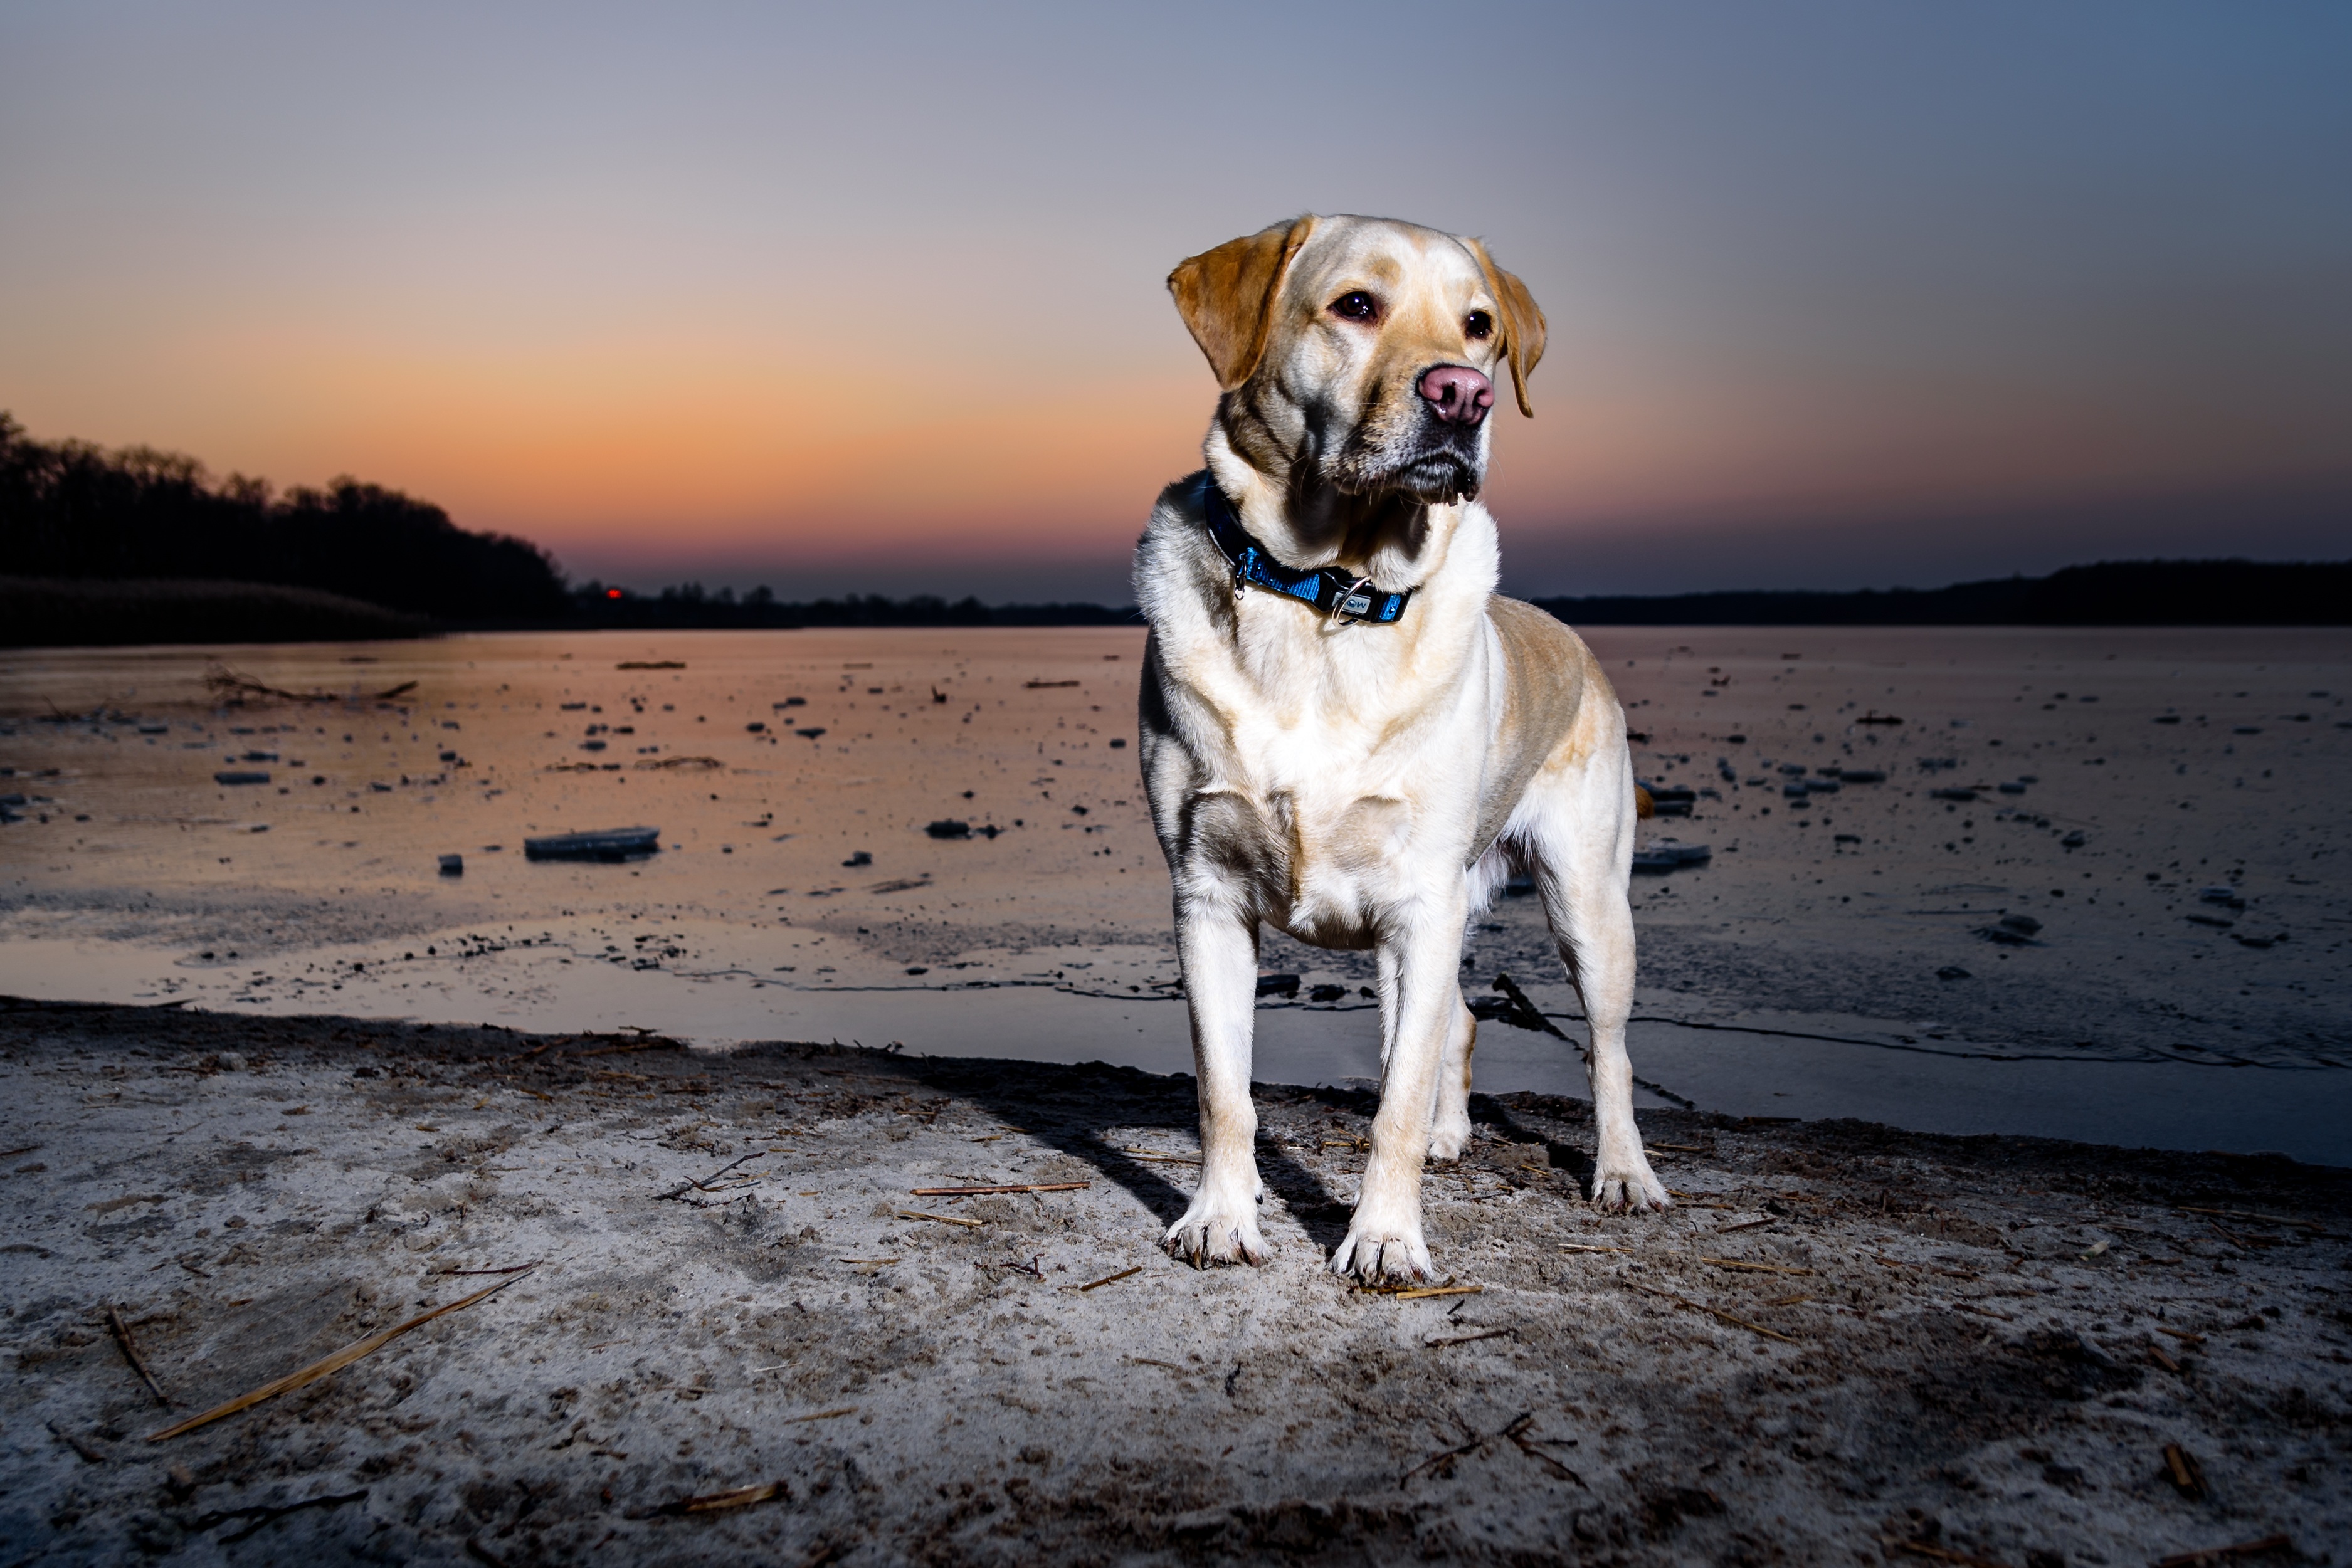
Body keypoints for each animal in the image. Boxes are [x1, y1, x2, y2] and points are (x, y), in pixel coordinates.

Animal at [1129, 211, 1665, 1288]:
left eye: (1478, 326)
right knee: (1458, 1017)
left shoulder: (1420, 907)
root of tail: (1576, 640)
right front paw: (1220, 1216)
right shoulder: (1205, 899)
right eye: (1355, 305)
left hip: (1586, 906)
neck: (1324, 595)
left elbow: (1394, 1106)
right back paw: (1457, 1135)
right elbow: (1223, 1092)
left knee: (1607, 1050)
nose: (1463, 394)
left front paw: (1381, 1237)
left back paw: (1623, 1172)